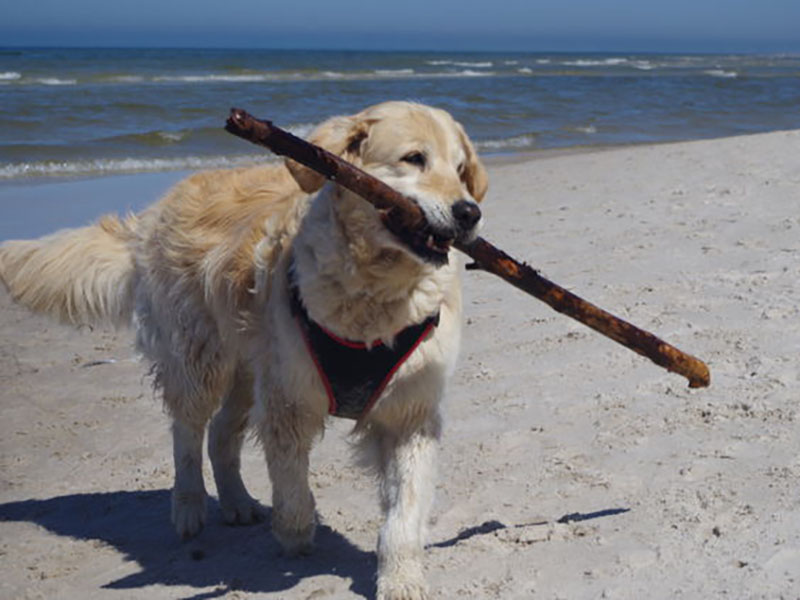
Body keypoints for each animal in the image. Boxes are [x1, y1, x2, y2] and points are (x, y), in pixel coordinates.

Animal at [0, 101, 488, 596]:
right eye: (414, 158)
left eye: (461, 170)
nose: (469, 213)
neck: (377, 293)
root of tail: (157, 210)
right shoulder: (289, 398)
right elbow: (291, 484)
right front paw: (296, 532)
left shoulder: (410, 413)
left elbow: (404, 513)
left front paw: (401, 578)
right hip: (202, 359)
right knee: (187, 431)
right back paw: (189, 507)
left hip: (248, 370)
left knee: (220, 433)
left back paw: (237, 503)